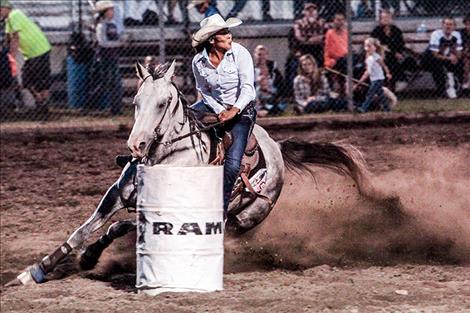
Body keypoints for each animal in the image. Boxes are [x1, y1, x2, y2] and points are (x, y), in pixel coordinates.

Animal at [5, 59, 370, 286]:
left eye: (164, 103)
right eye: (135, 101)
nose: (136, 144)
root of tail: (277, 149)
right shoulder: (117, 195)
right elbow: (83, 232)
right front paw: (37, 271)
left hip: (242, 219)